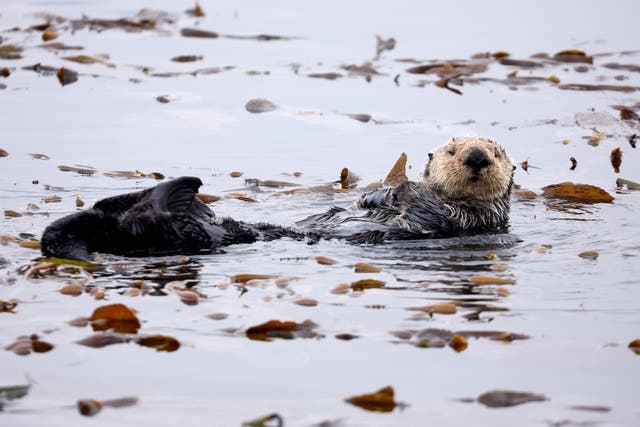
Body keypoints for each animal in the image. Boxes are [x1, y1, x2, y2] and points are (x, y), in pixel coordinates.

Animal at [297, 136, 515, 243]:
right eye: (451, 151)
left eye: (496, 154)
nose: (477, 157)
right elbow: (363, 201)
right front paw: (387, 193)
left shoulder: (477, 215)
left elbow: (441, 213)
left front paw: (406, 189)